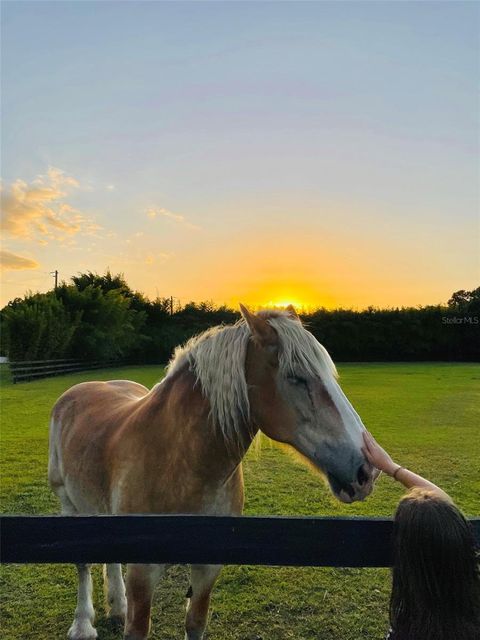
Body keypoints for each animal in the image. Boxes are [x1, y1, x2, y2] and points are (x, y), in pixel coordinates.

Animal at [48, 304, 378, 640]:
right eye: (296, 377)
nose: (366, 470)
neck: (179, 462)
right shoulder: (143, 572)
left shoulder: (208, 568)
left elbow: (195, 623)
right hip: (68, 504)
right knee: (82, 566)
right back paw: (83, 625)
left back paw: (116, 608)